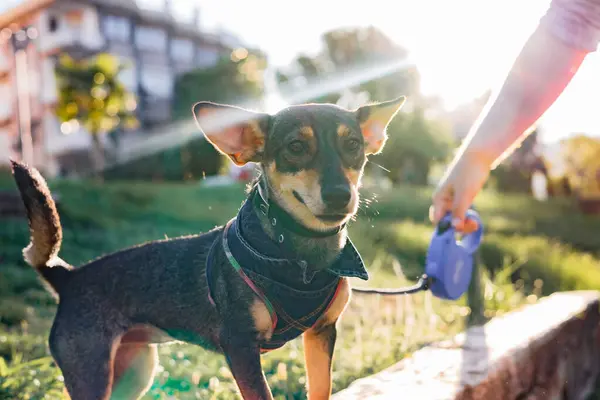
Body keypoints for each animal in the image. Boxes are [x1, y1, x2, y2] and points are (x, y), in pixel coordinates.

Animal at [9, 94, 406, 400]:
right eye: (296, 147)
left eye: (353, 145)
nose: (341, 195)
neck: (301, 257)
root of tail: (67, 276)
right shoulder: (240, 347)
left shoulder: (322, 333)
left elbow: (320, 388)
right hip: (92, 372)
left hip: (135, 369)